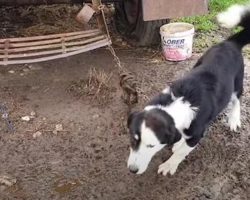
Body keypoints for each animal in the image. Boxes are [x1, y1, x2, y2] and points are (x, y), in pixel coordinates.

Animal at [127, 4, 250, 175]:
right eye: (133, 139)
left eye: (151, 146)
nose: (132, 170)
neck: (178, 102)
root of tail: (231, 43)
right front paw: (178, 144)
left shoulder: (196, 135)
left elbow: (181, 152)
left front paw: (169, 165)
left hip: (237, 82)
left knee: (237, 99)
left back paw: (234, 120)